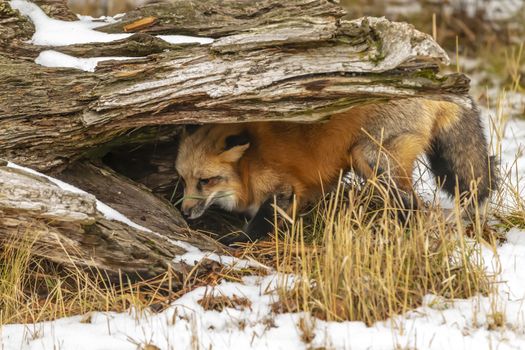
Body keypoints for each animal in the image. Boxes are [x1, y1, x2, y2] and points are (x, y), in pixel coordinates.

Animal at [176, 97, 496, 242]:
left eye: (205, 180)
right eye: (184, 180)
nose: (184, 212)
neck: (247, 169)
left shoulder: (283, 189)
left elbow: (259, 224)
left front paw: (235, 240)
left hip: (370, 158)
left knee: (413, 204)